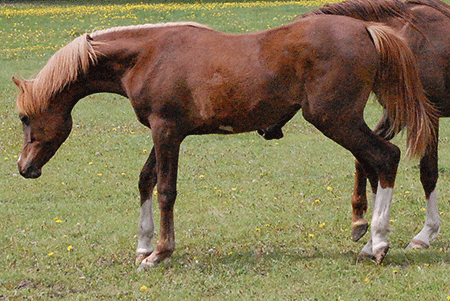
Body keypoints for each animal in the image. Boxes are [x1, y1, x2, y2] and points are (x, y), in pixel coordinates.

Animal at [13, 16, 436, 266]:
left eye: (24, 117)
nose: (24, 167)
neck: (147, 55)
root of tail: (366, 30)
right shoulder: (162, 132)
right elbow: (146, 181)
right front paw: (144, 246)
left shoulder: (166, 132)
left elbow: (165, 190)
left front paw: (160, 253)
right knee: (377, 162)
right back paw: (370, 241)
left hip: (336, 120)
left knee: (386, 158)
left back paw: (378, 244)